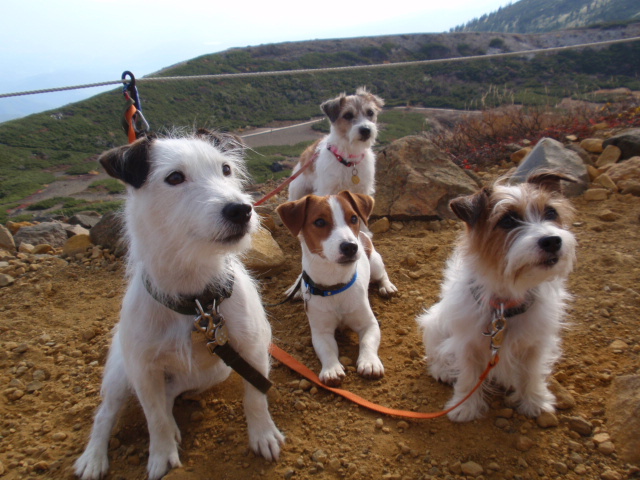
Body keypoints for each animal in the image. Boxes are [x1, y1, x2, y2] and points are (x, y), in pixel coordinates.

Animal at [75, 129, 282, 480]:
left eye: (226, 169)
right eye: (174, 177)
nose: (241, 210)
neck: (198, 301)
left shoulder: (251, 349)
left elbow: (255, 396)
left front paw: (263, 435)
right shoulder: (143, 371)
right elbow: (154, 418)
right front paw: (161, 455)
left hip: (212, 373)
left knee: (170, 394)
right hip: (120, 374)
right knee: (108, 413)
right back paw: (94, 456)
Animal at [276, 191, 390, 386]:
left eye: (353, 218)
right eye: (320, 222)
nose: (351, 246)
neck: (334, 286)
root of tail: (363, 234)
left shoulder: (369, 324)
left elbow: (368, 342)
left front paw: (369, 362)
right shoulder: (321, 331)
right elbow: (327, 349)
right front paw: (331, 369)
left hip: (375, 262)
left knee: (382, 273)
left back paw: (387, 286)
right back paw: (295, 289)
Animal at [418, 172, 576, 424]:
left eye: (551, 212)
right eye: (508, 221)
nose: (552, 240)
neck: (504, 305)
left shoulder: (536, 343)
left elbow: (532, 372)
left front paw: (535, 401)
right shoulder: (468, 343)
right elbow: (469, 375)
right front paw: (464, 406)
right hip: (435, 323)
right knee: (436, 352)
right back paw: (442, 370)